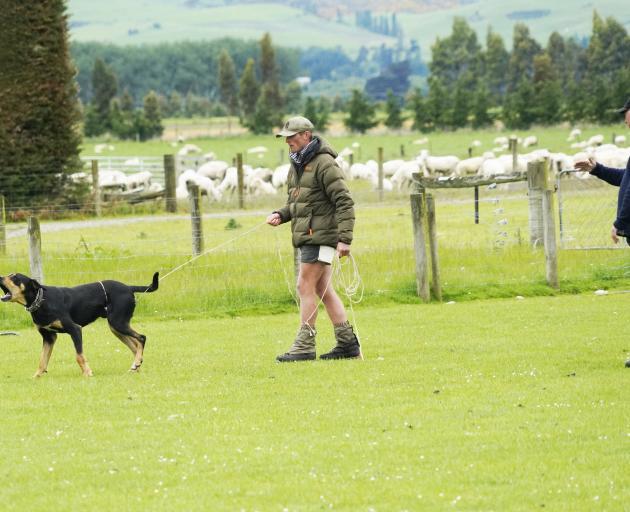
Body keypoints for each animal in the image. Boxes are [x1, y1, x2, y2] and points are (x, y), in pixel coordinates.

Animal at [0, 272, 158, 376]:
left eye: (15, 277)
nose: (0, 277)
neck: (42, 301)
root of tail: (128, 287)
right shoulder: (48, 337)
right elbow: (42, 360)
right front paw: (37, 376)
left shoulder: (75, 329)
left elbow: (79, 356)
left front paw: (87, 373)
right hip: (116, 327)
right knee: (135, 345)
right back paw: (135, 366)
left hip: (118, 322)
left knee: (141, 338)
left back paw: (136, 363)